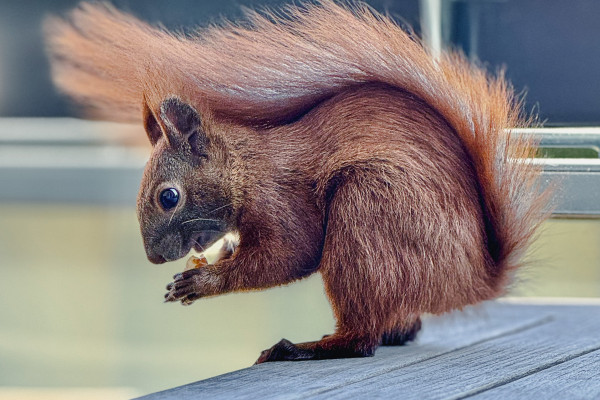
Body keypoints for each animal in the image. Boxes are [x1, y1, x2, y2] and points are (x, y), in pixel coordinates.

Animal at [44, 0, 552, 362]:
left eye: (169, 197)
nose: (153, 258)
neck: (246, 168)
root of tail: (472, 279)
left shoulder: (280, 199)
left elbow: (289, 254)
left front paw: (201, 282)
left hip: (368, 218)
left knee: (361, 339)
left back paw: (307, 348)